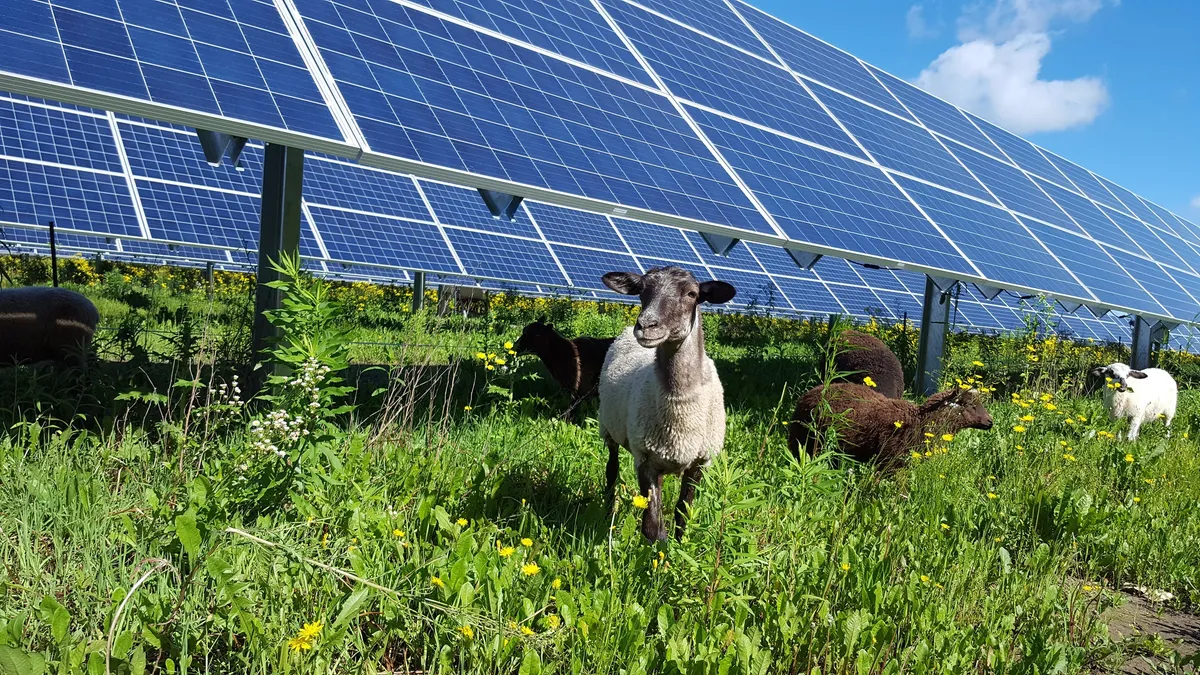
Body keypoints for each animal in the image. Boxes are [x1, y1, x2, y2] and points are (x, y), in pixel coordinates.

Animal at [597, 265, 734, 538]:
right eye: (641, 290)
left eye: (692, 294)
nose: (646, 325)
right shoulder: (645, 458)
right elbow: (652, 527)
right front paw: (659, 549)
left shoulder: (699, 462)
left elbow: (683, 515)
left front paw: (679, 546)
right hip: (609, 428)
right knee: (611, 470)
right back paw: (608, 512)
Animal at [787, 381, 993, 470]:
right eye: (969, 404)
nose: (990, 422)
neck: (920, 422)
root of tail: (809, 394)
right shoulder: (890, 463)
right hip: (804, 441)